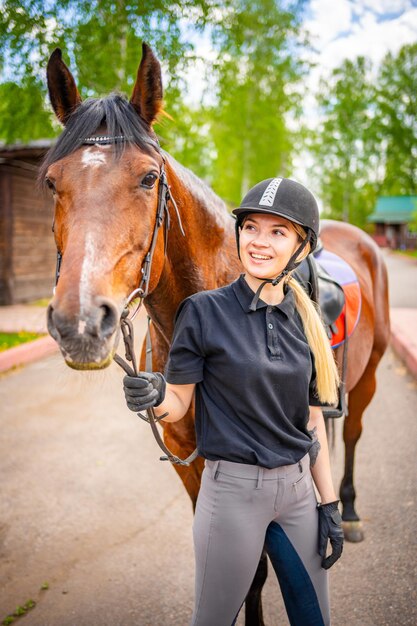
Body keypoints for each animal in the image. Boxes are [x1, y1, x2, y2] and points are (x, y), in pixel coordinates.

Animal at [42, 45, 390, 624]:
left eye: (149, 179)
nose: (82, 322)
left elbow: (257, 569)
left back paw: (352, 511)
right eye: (51, 182)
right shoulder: (191, 464)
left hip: (367, 381)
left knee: (357, 434)